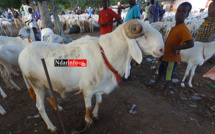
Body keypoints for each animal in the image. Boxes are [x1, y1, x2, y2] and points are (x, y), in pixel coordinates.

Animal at [18, 19, 164, 132]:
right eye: (142, 34)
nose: (161, 49)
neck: (106, 54)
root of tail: (22, 54)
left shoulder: (99, 85)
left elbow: (99, 101)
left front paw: (95, 115)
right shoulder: (87, 90)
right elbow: (87, 107)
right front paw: (88, 121)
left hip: (45, 83)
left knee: (50, 97)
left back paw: (58, 108)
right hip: (37, 85)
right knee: (40, 107)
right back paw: (52, 127)